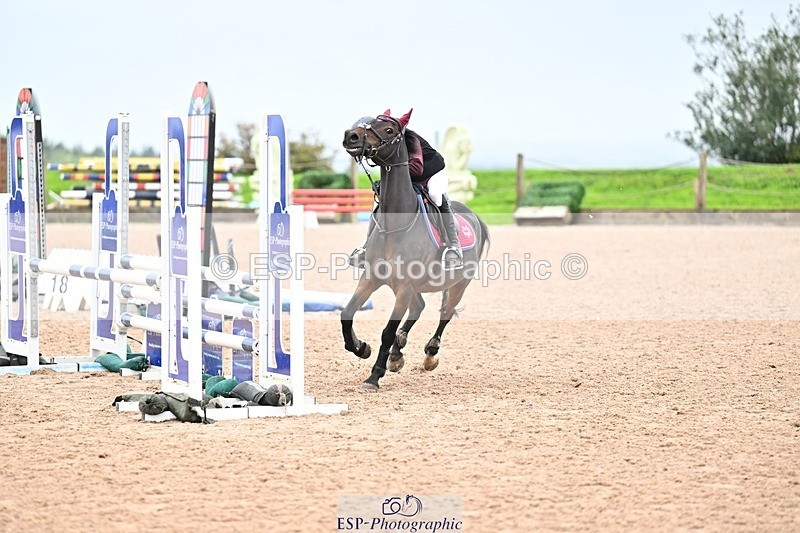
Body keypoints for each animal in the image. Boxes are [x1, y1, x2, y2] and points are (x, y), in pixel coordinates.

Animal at [340, 112, 490, 390]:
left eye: (388, 130)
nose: (350, 136)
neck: (394, 225)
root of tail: (475, 217)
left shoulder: (405, 286)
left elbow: (387, 332)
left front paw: (374, 376)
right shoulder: (371, 278)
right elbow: (346, 314)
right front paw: (361, 348)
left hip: (458, 284)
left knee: (445, 314)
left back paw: (430, 354)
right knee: (418, 308)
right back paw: (397, 354)